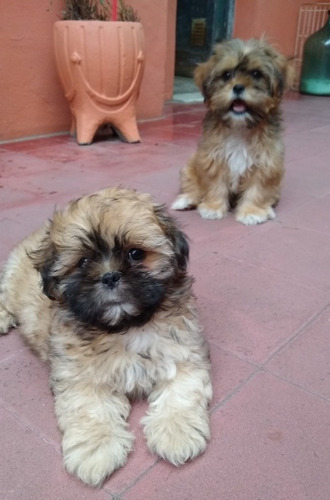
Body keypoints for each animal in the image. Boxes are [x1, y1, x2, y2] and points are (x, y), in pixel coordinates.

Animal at [0, 187, 211, 484]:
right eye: (84, 261)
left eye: (136, 253)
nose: (110, 276)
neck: (126, 326)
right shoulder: (79, 376)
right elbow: (90, 410)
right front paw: (96, 450)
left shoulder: (183, 354)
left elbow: (181, 393)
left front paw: (176, 433)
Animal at [171, 38, 292, 226]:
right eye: (227, 75)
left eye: (256, 74)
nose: (238, 87)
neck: (239, 127)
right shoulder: (213, 158)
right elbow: (215, 185)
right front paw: (213, 207)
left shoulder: (266, 162)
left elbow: (257, 188)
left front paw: (252, 211)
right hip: (190, 167)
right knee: (195, 187)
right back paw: (186, 200)